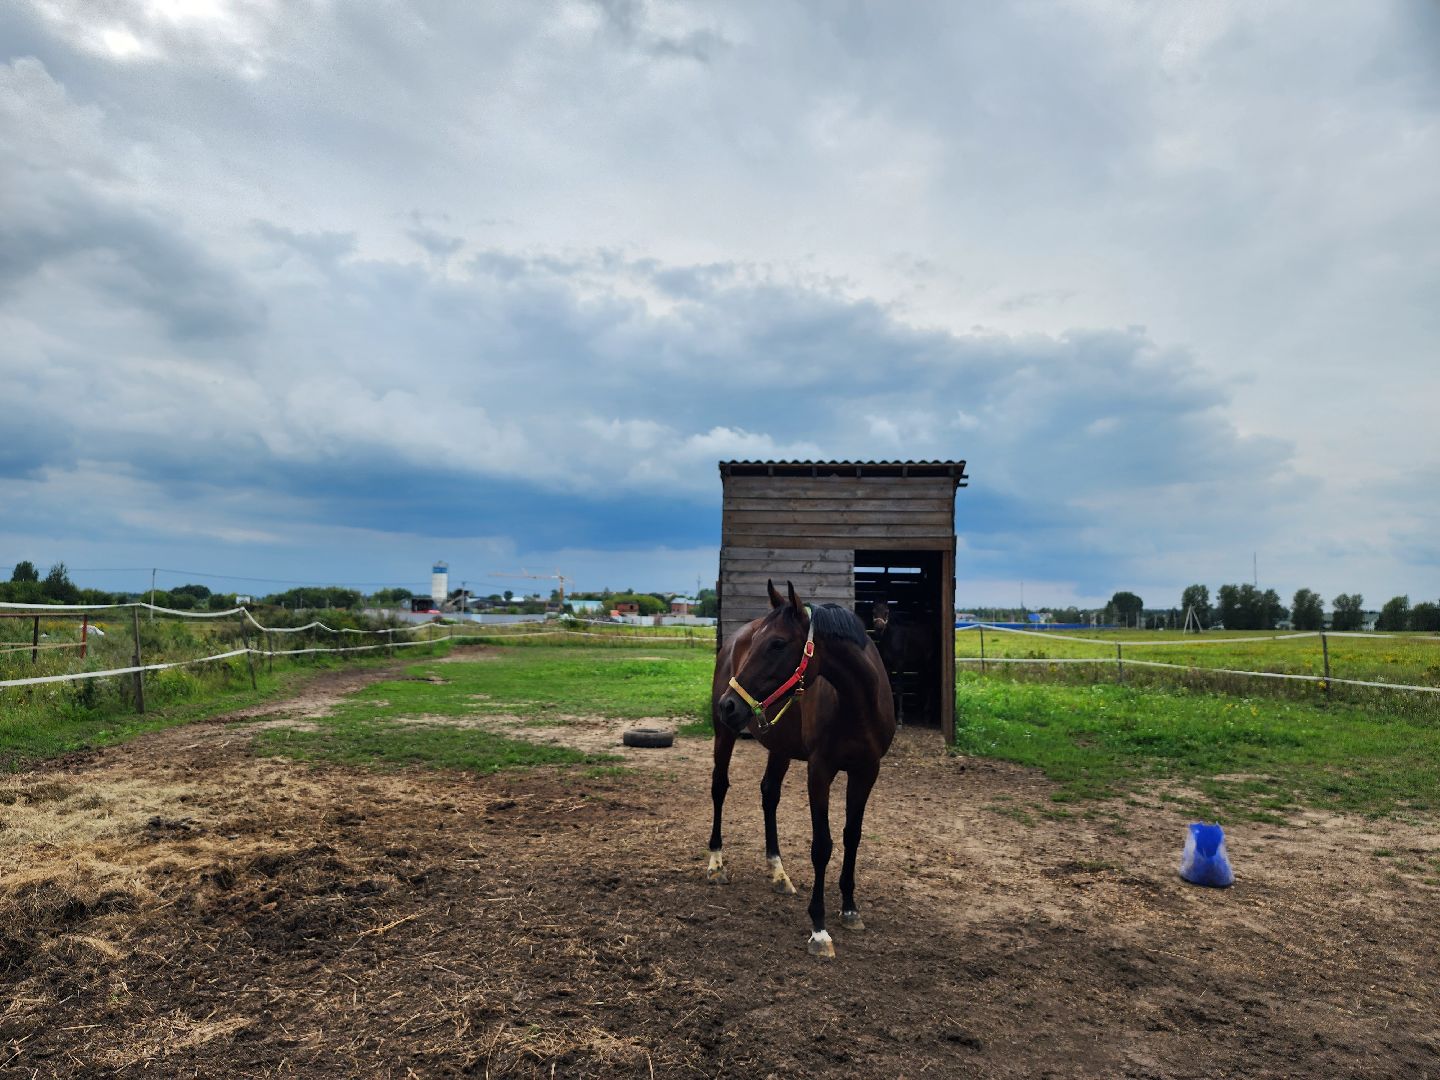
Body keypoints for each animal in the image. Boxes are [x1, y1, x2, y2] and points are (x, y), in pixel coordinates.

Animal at [708, 580, 896, 959]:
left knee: (769, 795)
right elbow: (822, 845)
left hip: (779, 747)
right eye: (760, 641)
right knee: (719, 787)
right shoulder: (819, 772)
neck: (856, 704)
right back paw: (716, 864)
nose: (728, 704)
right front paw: (819, 928)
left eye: (778, 643)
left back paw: (778, 873)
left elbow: (852, 836)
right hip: (725, 734)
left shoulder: (866, 772)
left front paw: (850, 909)